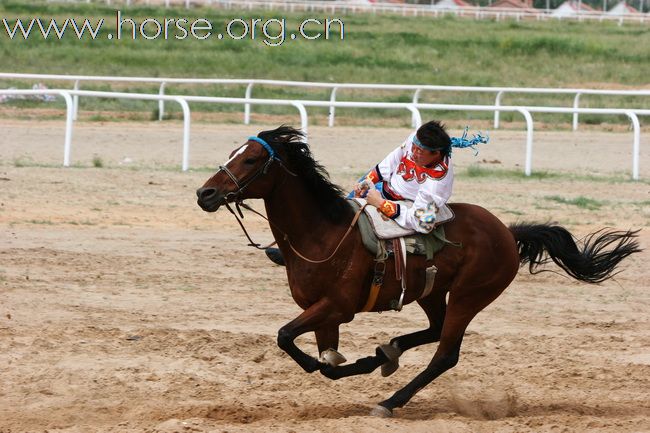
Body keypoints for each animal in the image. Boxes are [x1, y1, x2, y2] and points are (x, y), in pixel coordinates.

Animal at [194, 126, 636, 416]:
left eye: (251, 159)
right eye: (233, 152)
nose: (205, 193)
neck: (322, 234)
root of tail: (508, 233)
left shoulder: (336, 307)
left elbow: (288, 338)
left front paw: (341, 366)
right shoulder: (323, 314)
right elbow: (324, 357)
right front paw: (362, 361)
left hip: (469, 296)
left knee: (446, 353)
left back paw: (390, 401)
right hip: (432, 293)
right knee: (434, 331)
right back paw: (386, 353)